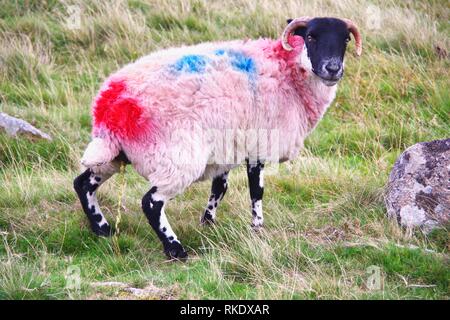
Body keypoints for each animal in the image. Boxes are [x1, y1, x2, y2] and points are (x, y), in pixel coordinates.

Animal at [74, 16, 362, 260]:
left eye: (345, 39)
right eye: (311, 36)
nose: (332, 69)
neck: (287, 70)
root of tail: (112, 104)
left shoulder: (227, 147)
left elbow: (219, 188)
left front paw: (208, 222)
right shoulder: (258, 143)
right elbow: (256, 190)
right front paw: (257, 228)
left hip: (114, 154)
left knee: (83, 183)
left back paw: (103, 229)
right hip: (176, 158)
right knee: (151, 203)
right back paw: (175, 249)